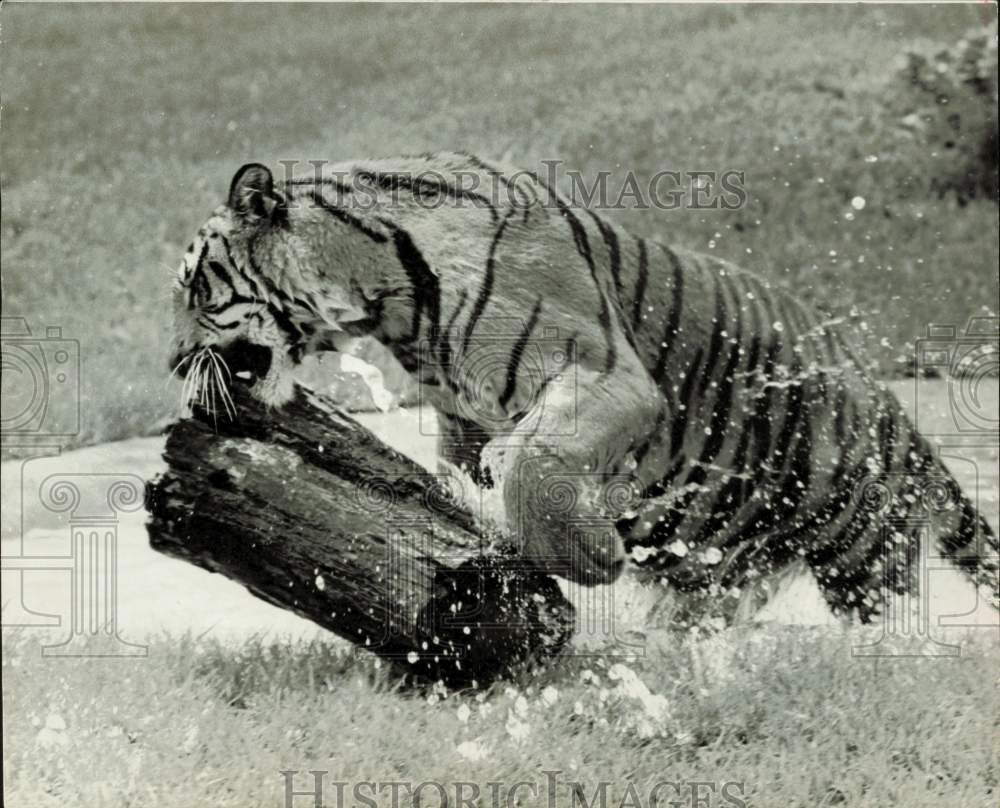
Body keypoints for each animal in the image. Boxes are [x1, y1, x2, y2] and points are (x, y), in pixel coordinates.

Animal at [168, 153, 996, 620]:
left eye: (195, 288)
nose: (176, 364)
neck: (388, 300)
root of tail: (894, 412)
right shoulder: (463, 417)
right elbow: (472, 471)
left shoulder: (603, 372)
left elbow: (533, 464)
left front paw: (590, 554)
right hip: (728, 573)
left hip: (862, 558)